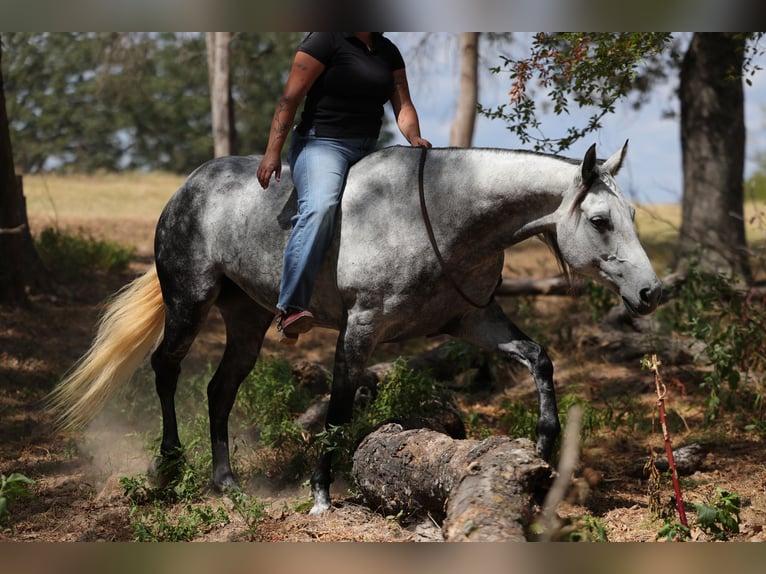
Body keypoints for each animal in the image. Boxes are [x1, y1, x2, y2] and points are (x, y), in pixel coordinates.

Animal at [49, 141, 661, 516]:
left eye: (632, 216)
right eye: (600, 221)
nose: (650, 293)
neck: (441, 216)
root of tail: (187, 189)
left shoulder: (473, 319)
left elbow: (538, 357)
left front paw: (542, 447)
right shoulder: (361, 327)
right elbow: (340, 407)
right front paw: (321, 493)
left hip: (246, 320)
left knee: (219, 389)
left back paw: (226, 482)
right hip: (189, 301)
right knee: (166, 368)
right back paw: (172, 466)